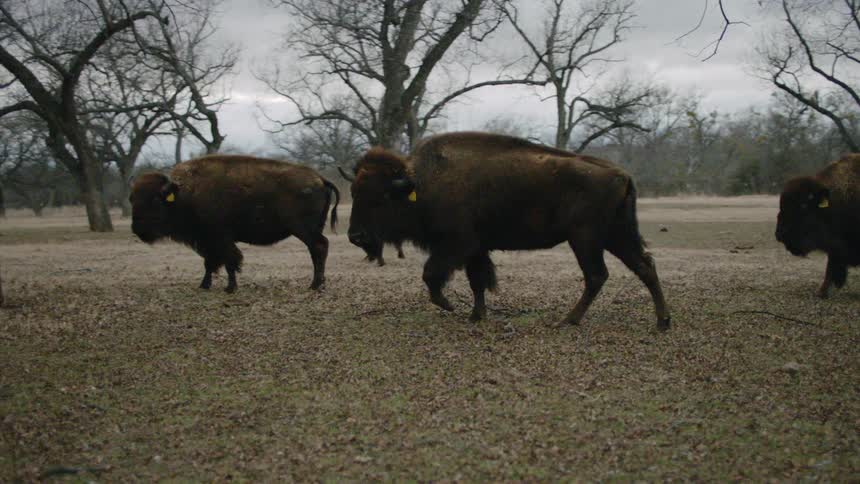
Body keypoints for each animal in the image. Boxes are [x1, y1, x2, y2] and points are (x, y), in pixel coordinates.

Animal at [130, 154, 339, 293]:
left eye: (155, 201)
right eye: (132, 199)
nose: (136, 228)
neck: (185, 194)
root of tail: (320, 179)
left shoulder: (219, 238)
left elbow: (229, 260)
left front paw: (230, 288)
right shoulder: (208, 241)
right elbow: (210, 263)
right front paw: (204, 285)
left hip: (303, 229)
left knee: (319, 247)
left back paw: (314, 285)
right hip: (312, 228)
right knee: (318, 249)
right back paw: (319, 284)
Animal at [345, 132, 671, 329]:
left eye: (381, 197)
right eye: (354, 192)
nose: (355, 237)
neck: (419, 183)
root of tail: (623, 174)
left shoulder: (457, 244)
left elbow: (431, 274)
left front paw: (448, 305)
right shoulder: (476, 249)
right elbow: (477, 281)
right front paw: (476, 316)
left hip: (586, 238)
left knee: (597, 275)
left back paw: (568, 321)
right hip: (615, 235)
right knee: (644, 267)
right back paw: (662, 322)